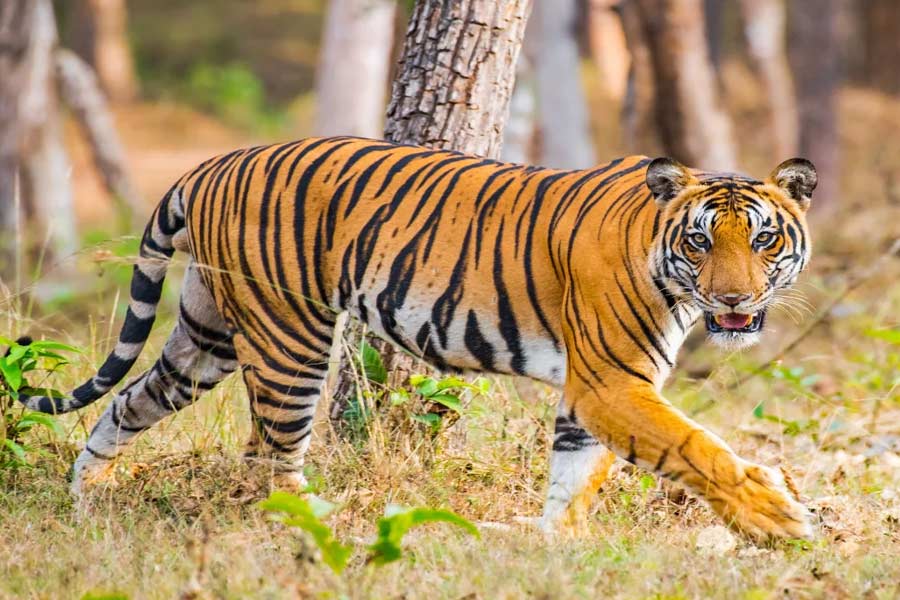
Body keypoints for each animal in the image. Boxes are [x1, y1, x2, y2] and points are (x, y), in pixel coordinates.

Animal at [16, 136, 817, 541]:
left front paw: (555, 551)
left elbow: (574, 477)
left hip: (205, 335)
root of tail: (209, 163)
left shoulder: (592, 392)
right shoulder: (610, 381)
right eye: (701, 241)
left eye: (764, 239)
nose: (734, 298)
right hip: (291, 337)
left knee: (126, 404)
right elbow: (694, 447)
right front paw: (778, 519)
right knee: (269, 456)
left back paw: (86, 501)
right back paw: (317, 526)